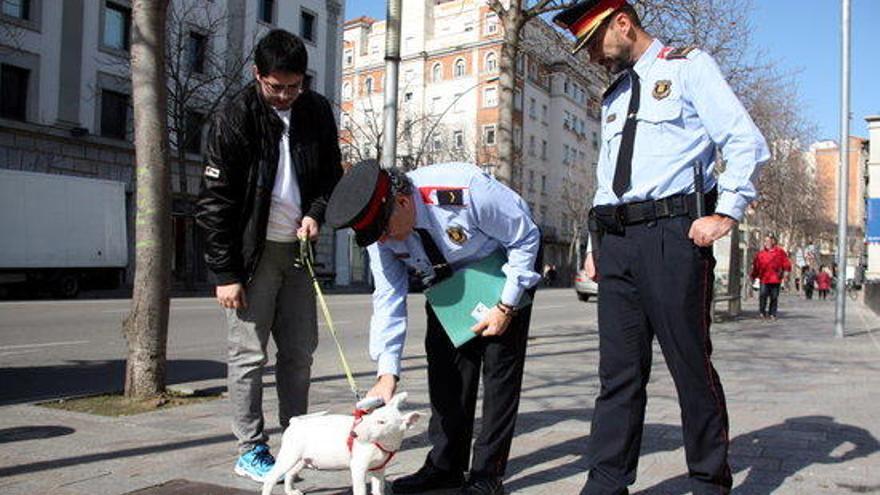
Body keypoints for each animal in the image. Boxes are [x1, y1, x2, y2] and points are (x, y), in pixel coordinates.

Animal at [260, 396, 422, 495]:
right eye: (369, 417)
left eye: (381, 422)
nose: (354, 434)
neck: (381, 444)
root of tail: (295, 422)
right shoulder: (358, 468)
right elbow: (360, 490)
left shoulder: (378, 469)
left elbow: (378, 489)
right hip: (289, 455)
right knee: (271, 478)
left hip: (301, 460)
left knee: (290, 473)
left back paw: (291, 491)